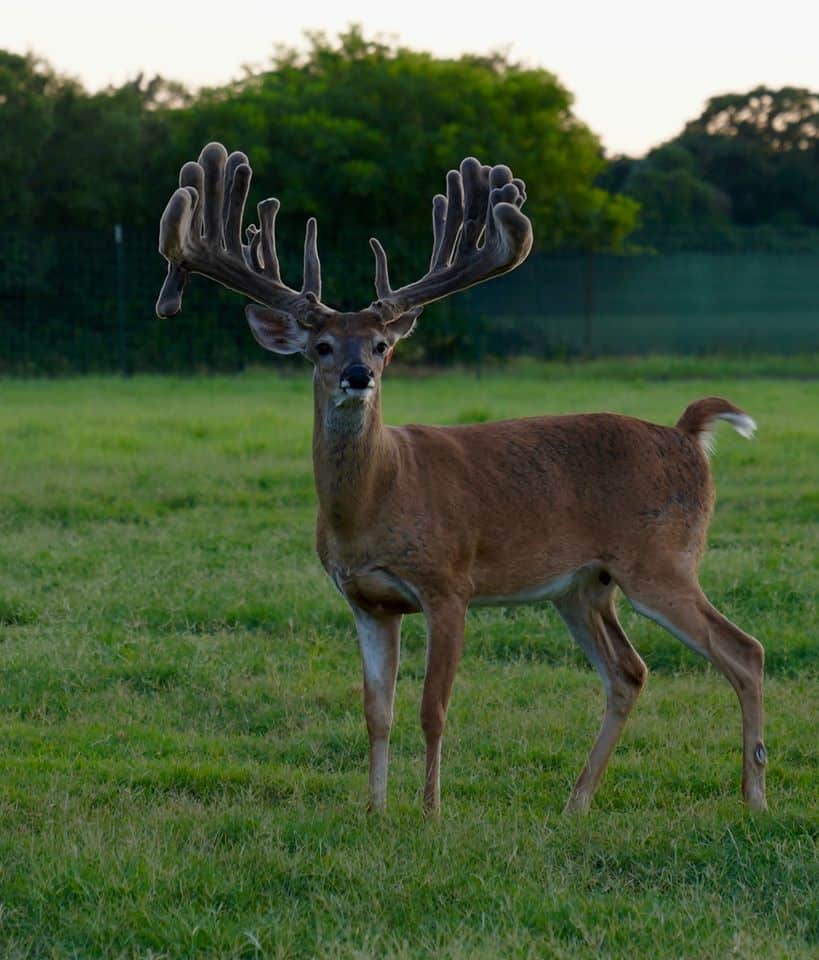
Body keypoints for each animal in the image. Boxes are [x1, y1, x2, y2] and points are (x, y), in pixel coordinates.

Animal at [155, 142, 767, 816]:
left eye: (380, 345)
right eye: (320, 346)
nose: (358, 376)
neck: (374, 501)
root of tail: (687, 435)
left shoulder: (449, 584)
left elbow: (433, 709)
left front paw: (429, 811)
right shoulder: (366, 601)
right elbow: (376, 712)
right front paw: (374, 810)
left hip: (661, 559)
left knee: (744, 650)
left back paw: (754, 796)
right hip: (584, 586)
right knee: (629, 671)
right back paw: (577, 802)